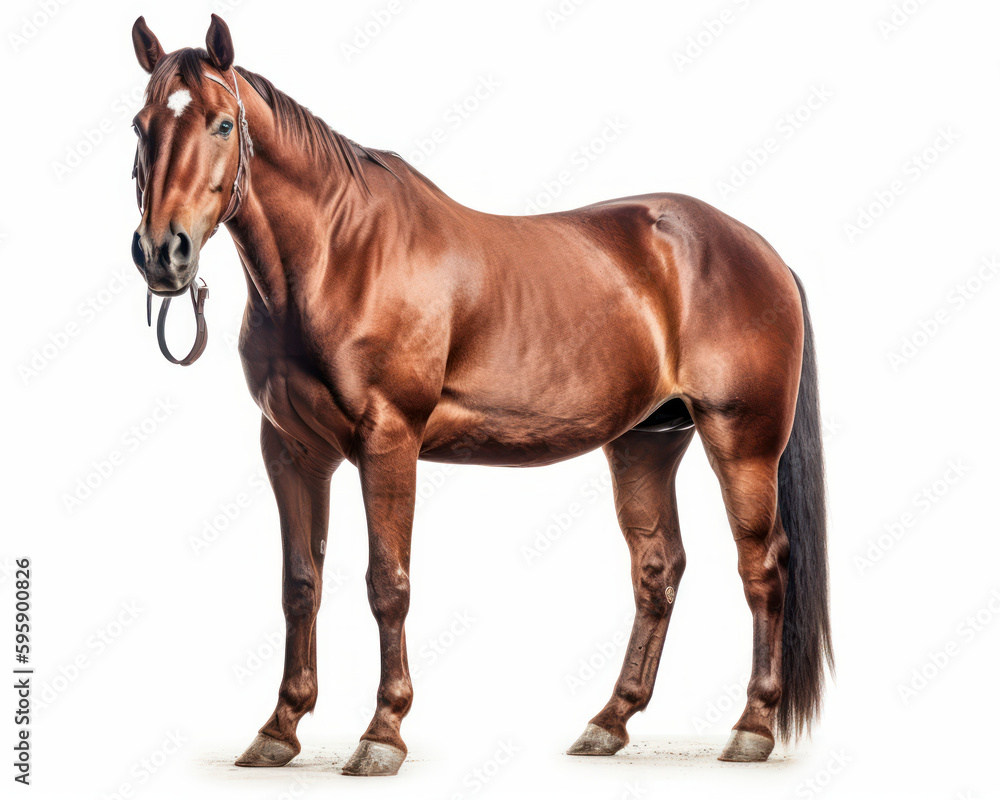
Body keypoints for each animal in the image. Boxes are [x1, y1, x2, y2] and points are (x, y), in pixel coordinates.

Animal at [128, 15, 833, 776]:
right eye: (140, 125)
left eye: (223, 123)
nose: (162, 252)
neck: (339, 255)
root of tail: (761, 251)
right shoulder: (291, 450)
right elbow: (299, 585)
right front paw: (279, 729)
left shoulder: (388, 439)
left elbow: (388, 583)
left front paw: (382, 733)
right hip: (646, 442)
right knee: (658, 568)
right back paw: (609, 722)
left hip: (741, 441)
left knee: (763, 566)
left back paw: (751, 727)